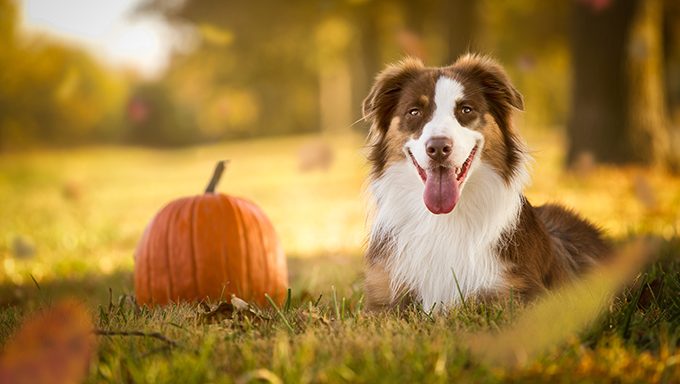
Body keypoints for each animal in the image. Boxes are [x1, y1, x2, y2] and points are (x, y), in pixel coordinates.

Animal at [362, 54, 612, 312]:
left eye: (466, 109)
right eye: (414, 112)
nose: (438, 148)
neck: (445, 220)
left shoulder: (522, 294)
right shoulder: (381, 298)